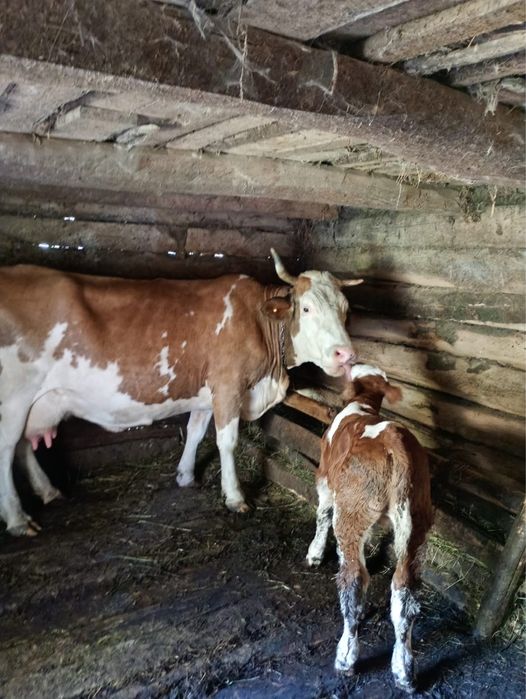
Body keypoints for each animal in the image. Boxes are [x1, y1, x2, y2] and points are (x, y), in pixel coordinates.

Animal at [0, 250, 362, 536]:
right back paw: (18, 519)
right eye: (307, 308)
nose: (346, 354)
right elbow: (227, 441)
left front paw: (186, 475)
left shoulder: (205, 391)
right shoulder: (228, 385)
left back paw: (48, 491)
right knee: (7, 448)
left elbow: (195, 431)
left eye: (346, 309)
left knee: (22, 446)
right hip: (15, 397)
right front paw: (235, 497)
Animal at [306, 364, 433, 693]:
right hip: (417, 519)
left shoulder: (324, 476)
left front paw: (315, 552)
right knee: (404, 591)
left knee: (353, 578)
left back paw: (346, 656)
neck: (362, 405)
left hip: (350, 512)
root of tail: (395, 443)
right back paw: (404, 671)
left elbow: (321, 512)